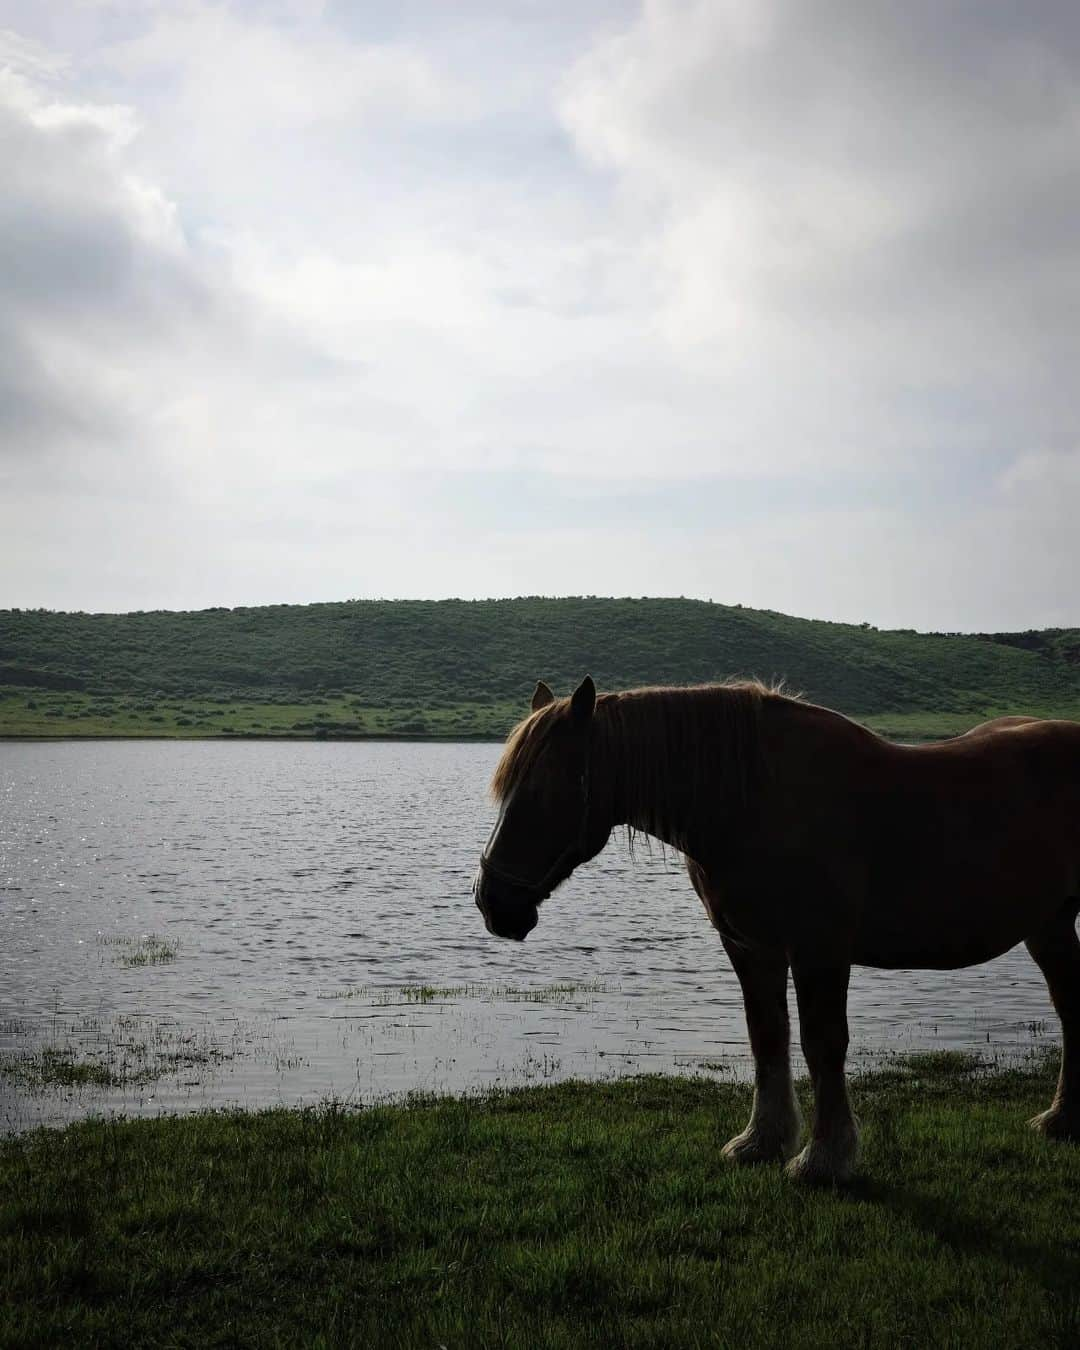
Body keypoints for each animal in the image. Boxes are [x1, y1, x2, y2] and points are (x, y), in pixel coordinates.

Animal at [477, 675, 1080, 1182]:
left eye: (546, 791)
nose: (493, 904)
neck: (754, 803)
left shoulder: (819, 949)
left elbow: (822, 1042)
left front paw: (823, 1158)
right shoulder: (750, 947)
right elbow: (766, 1034)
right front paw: (761, 1142)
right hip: (1049, 925)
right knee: (1068, 1007)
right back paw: (1059, 1119)